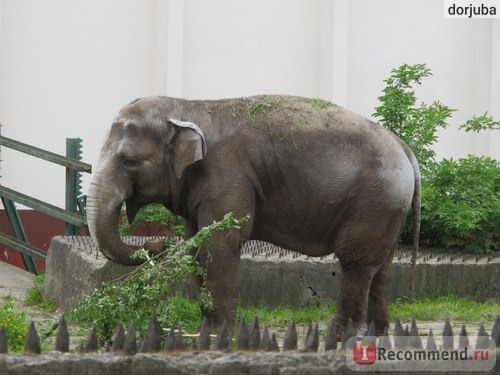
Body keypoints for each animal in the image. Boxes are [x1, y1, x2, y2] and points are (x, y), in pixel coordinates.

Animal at [88, 95, 420, 336]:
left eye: (130, 161)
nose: (158, 246)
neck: (187, 106)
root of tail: (404, 147)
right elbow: (197, 246)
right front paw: (206, 331)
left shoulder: (227, 176)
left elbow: (220, 245)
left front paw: (223, 335)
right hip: (389, 208)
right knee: (381, 267)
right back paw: (377, 333)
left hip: (375, 201)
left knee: (356, 261)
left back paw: (340, 336)